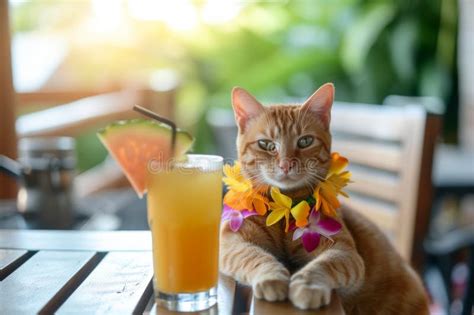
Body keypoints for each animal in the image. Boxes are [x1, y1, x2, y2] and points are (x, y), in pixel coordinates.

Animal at [219, 82, 430, 314]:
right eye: (266, 144)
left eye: (305, 141)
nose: (286, 164)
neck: (287, 207)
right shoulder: (232, 242)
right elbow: (254, 256)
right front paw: (271, 277)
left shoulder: (343, 251)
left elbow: (324, 265)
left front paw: (307, 286)